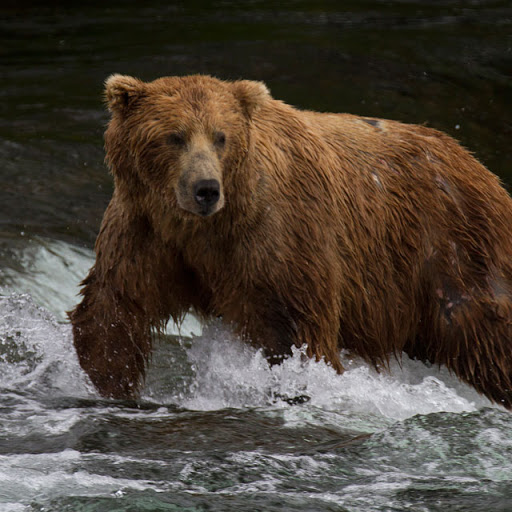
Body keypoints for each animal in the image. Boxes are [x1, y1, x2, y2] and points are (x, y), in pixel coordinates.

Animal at [70, 73, 512, 408]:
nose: (205, 189)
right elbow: (114, 308)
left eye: (220, 136)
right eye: (174, 136)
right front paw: (108, 384)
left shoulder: (278, 238)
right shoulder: (147, 233)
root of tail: (476, 164)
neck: (206, 227)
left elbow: (294, 331)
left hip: (451, 250)